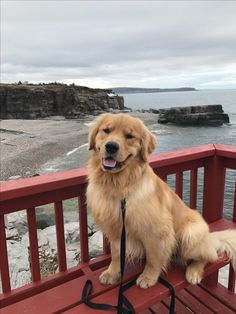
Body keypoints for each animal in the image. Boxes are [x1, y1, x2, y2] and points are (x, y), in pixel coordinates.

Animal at [86, 114, 236, 288]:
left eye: (129, 136)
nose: (111, 146)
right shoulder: (116, 231)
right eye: (106, 130)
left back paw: (193, 272)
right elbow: (117, 255)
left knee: (207, 256)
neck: (120, 186)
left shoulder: (157, 231)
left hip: (190, 235)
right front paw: (112, 272)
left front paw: (149, 276)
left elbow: (153, 257)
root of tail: (209, 238)